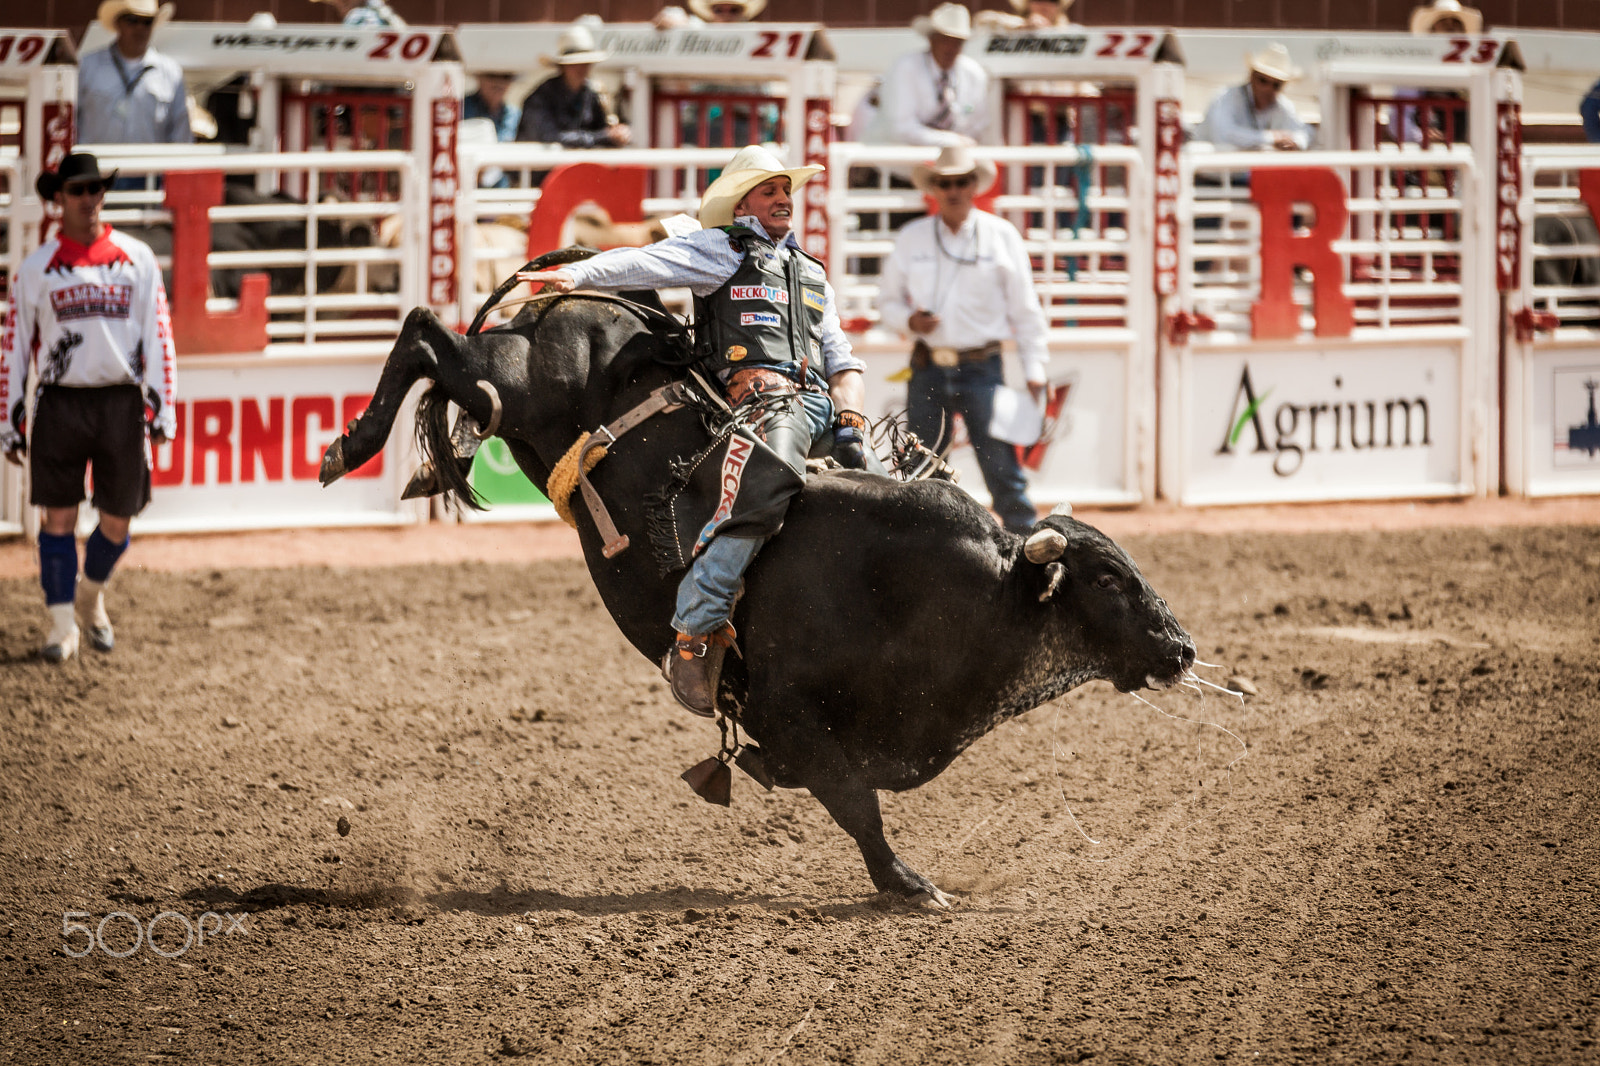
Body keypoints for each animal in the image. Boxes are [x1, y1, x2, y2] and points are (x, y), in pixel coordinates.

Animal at [318, 256, 1203, 896]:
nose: (1183, 647)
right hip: (515, 381)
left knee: (442, 360)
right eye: (1111, 581)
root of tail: (582, 293)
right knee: (428, 335)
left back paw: (419, 466)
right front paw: (909, 885)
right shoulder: (791, 720)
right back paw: (350, 445)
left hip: (514, 401)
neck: (953, 592)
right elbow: (857, 807)